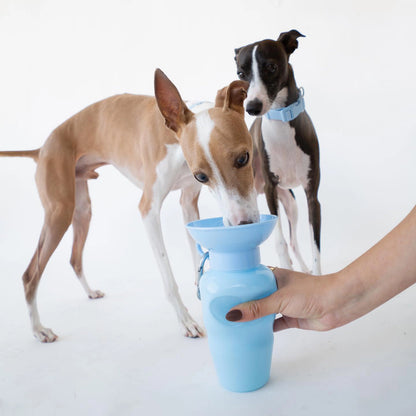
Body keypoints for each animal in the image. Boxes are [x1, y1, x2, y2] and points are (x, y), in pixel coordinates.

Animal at [0, 70, 260, 342]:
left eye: (243, 158)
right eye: (202, 176)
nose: (243, 224)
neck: (174, 141)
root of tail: (42, 148)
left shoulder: (188, 202)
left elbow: (195, 253)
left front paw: (204, 287)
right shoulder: (148, 210)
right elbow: (168, 276)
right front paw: (186, 321)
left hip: (82, 211)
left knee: (74, 258)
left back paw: (90, 292)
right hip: (59, 212)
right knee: (30, 275)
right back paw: (39, 329)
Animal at [234, 30, 322, 274]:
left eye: (271, 67)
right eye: (241, 73)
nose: (252, 108)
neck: (282, 122)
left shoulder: (312, 195)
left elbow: (315, 246)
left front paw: (317, 275)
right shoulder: (271, 191)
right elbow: (279, 242)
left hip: (291, 203)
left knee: (294, 242)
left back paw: (304, 270)